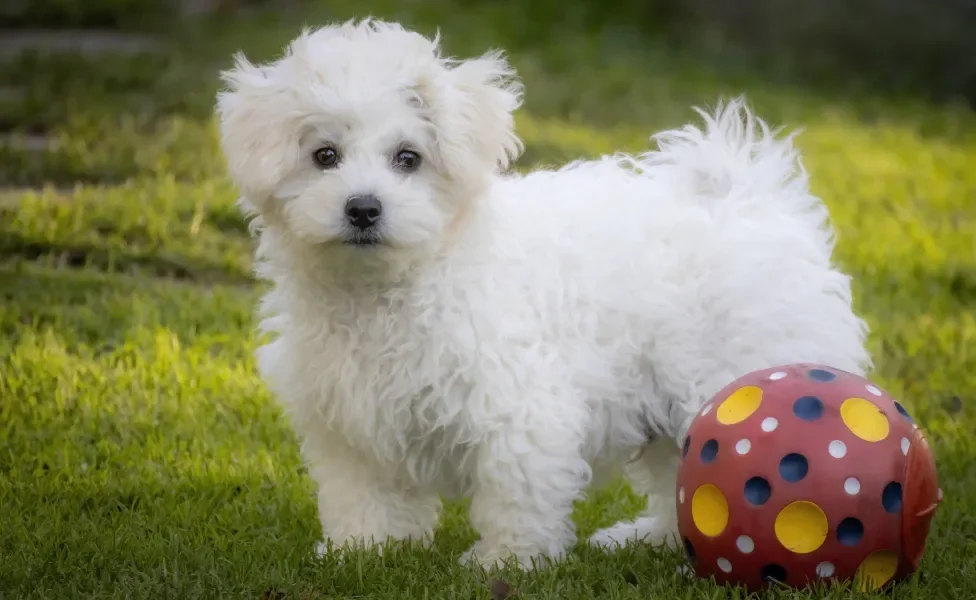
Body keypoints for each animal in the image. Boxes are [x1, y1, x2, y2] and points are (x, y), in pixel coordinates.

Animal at [217, 18, 872, 568]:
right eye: (323, 155)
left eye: (408, 158)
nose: (363, 208)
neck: (391, 285)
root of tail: (753, 194)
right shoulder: (349, 418)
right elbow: (362, 491)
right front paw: (362, 550)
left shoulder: (516, 403)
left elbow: (515, 488)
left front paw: (507, 562)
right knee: (679, 479)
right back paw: (648, 538)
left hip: (729, 371)